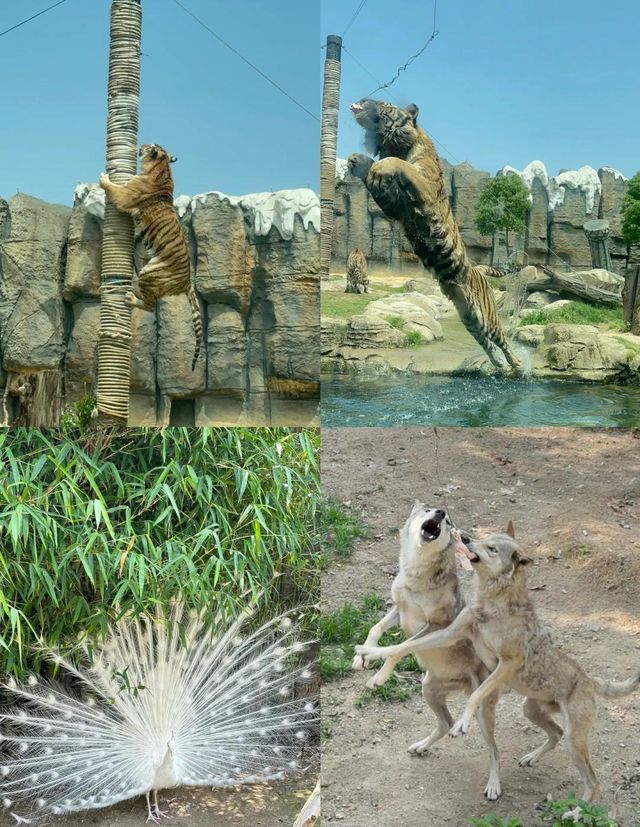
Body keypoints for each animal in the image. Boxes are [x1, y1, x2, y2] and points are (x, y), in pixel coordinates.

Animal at [352, 502, 502, 800]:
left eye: (448, 522)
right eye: (429, 510)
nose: (441, 513)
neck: (416, 577)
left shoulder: (436, 625)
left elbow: (400, 648)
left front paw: (378, 676)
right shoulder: (399, 610)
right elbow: (375, 628)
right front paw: (361, 656)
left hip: (481, 712)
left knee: (494, 750)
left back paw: (494, 786)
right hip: (429, 689)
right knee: (446, 723)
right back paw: (421, 746)